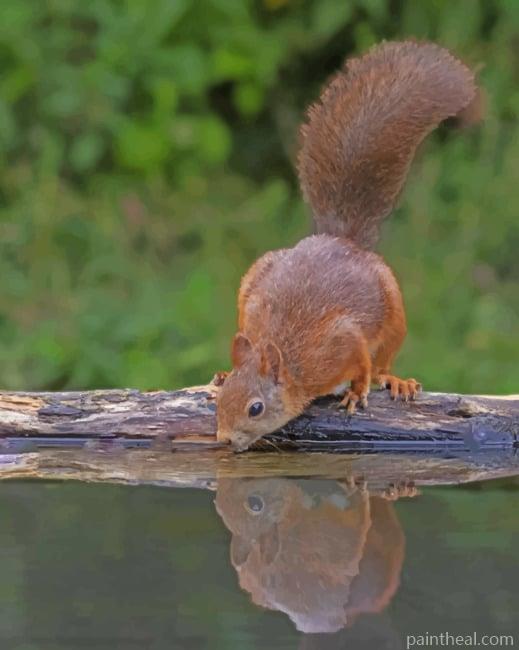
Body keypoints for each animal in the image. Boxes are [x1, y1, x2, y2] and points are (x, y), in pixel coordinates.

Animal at [215, 40, 478, 452]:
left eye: (255, 408)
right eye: (221, 403)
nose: (224, 440)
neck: (291, 359)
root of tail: (340, 238)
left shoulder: (342, 340)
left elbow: (362, 365)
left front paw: (357, 391)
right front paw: (223, 376)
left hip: (394, 309)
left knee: (383, 360)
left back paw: (394, 380)